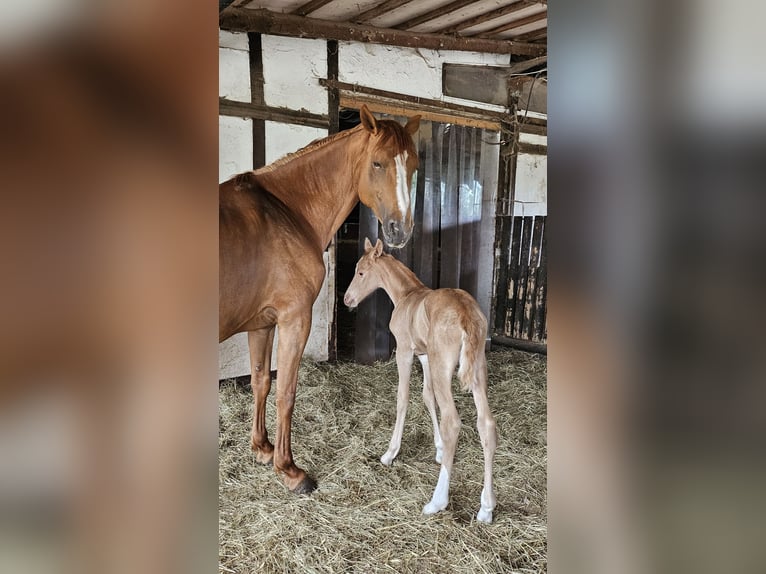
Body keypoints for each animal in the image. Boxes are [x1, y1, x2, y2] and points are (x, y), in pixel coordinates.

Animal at [219, 104, 424, 496]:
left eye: (414, 166)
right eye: (377, 163)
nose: (400, 231)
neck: (287, 212)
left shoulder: (263, 324)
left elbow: (260, 382)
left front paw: (262, 449)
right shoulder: (295, 319)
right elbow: (286, 392)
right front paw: (289, 470)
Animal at [344, 238, 500, 528]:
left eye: (360, 272)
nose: (348, 299)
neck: (407, 295)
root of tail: (466, 314)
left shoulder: (405, 351)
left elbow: (403, 397)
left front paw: (390, 453)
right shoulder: (425, 355)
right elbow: (428, 397)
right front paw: (438, 450)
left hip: (444, 367)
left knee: (453, 421)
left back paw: (437, 501)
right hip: (476, 369)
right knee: (485, 423)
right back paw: (486, 507)